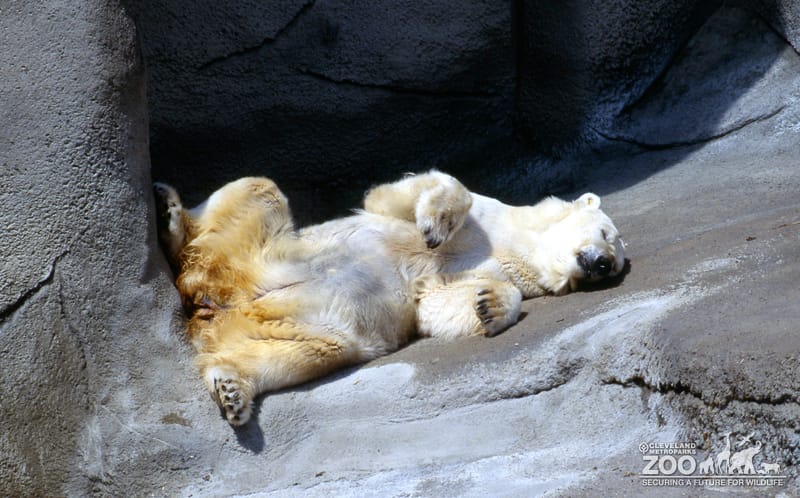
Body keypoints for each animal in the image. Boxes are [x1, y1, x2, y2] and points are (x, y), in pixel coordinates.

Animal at [154, 170, 625, 425]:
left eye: (618, 259)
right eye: (609, 233)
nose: (604, 265)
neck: (517, 242)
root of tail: (210, 307)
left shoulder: (500, 270)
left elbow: (435, 305)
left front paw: (489, 305)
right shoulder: (484, 216)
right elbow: (409, 194)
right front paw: (436, 223)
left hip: (295, 321)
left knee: (319, 347)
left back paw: (233, 388)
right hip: (255, 252)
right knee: (256, 193)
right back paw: (171, 215)